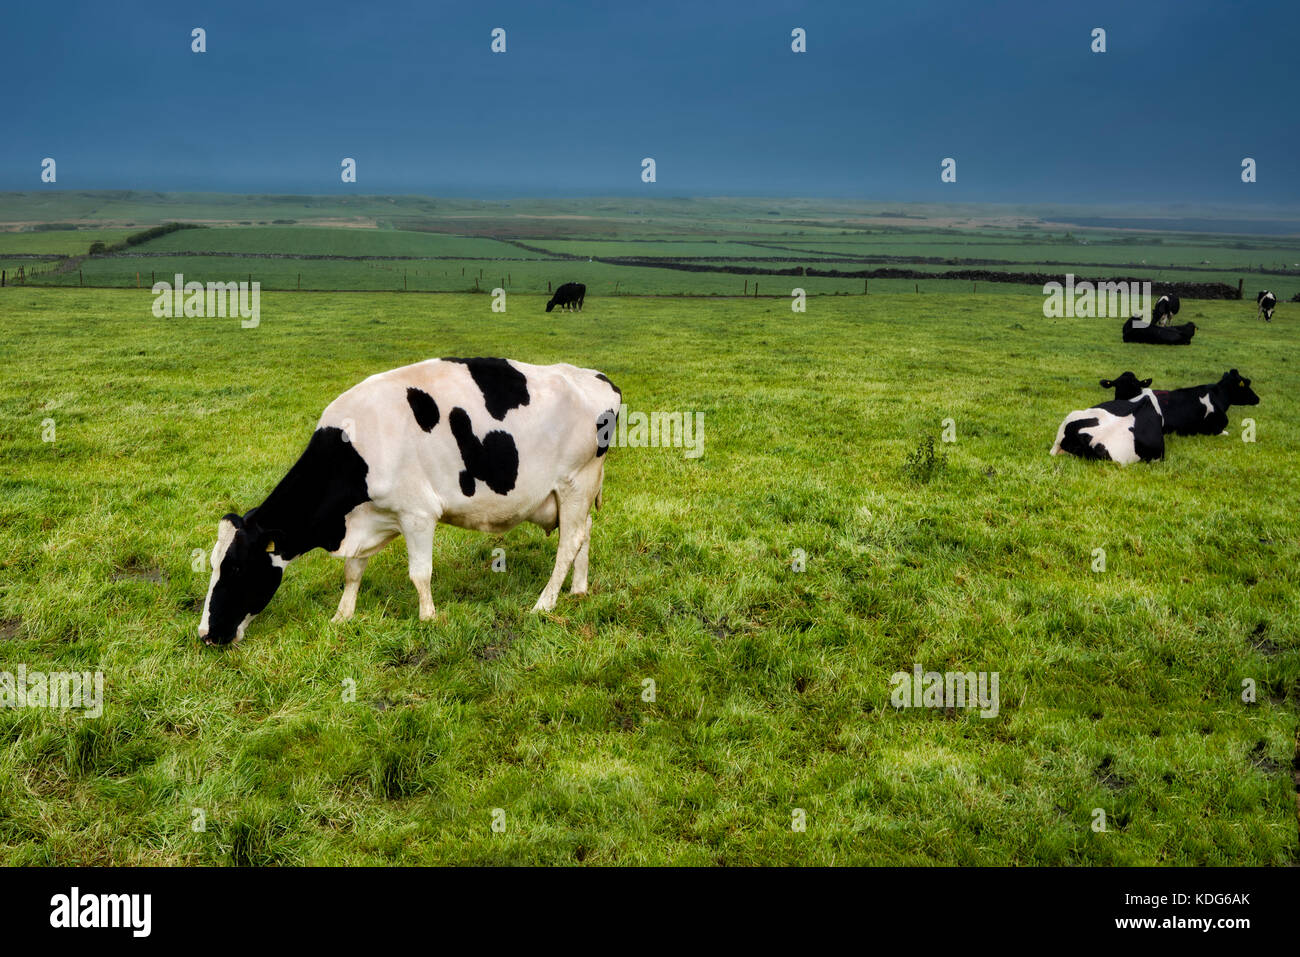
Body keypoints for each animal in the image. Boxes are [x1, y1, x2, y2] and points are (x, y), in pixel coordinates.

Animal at [195, 356, 621, 642]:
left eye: (235, 568)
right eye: (214, 565)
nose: (206, 634)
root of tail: (595, 377)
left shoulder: (417, 513)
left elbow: (420, 573)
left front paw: (428, 618)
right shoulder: (369, 517)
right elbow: (353, 570)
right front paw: (342, 616)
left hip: (575, 481)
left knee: (568, 543)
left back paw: (544, 603)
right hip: (577, 492)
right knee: (584, 533)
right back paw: (578, 590)